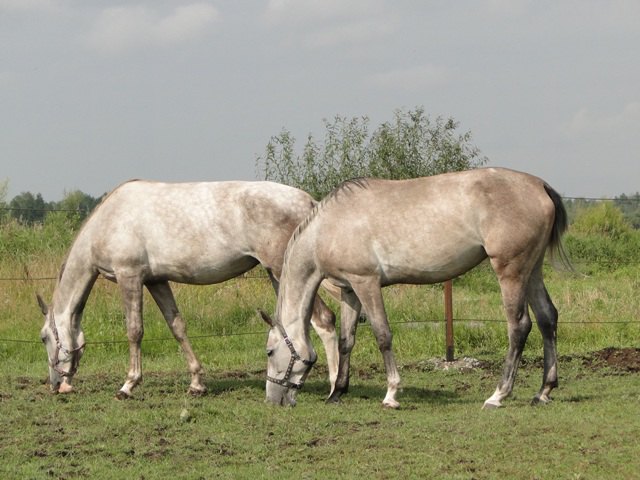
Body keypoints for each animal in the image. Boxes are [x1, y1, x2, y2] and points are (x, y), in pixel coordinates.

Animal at [38, 180, 340, 398]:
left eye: (43, 338)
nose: (56, 385)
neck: (110, 220)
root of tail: (308, 201)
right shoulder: (156, 281)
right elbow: (177, 327)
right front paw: (196, 383)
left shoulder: (130, 277)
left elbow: (134, 331)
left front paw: (128, 385)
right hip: (279, 275)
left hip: (282, 269)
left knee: (324, 320)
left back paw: (335, 386)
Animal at [262, 168, 568, 408]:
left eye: (269, 352)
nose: (273, 399)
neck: (328, 228)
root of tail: (539, 185)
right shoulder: (350, 290)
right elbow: (346, 340)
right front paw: (337, 393)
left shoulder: (366, 283)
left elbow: (383, 335)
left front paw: (391, 394)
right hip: (532, 270)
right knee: (547, 318)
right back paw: (543, 391)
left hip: (511, 272)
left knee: (519, 326)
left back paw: (498, 395)